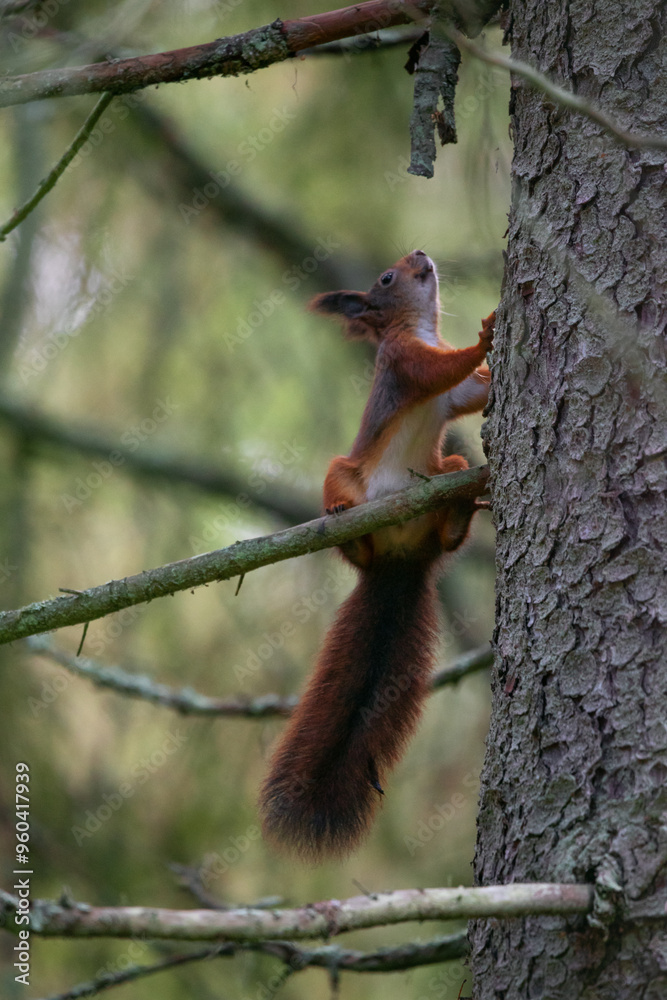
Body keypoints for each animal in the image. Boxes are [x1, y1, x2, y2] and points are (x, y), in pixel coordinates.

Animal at [259, 249, 495, 863]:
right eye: (387, 277)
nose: (420, 254)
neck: (419, 327)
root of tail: (399, 561)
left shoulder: (454, 399)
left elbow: (470, 394)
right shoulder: (403, 363)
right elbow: (438, 370)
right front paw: (487, 336)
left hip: (444, 480)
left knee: (452, 496)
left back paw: (461, 506)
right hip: (344, 472)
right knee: (351, 524)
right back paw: (347, 522)